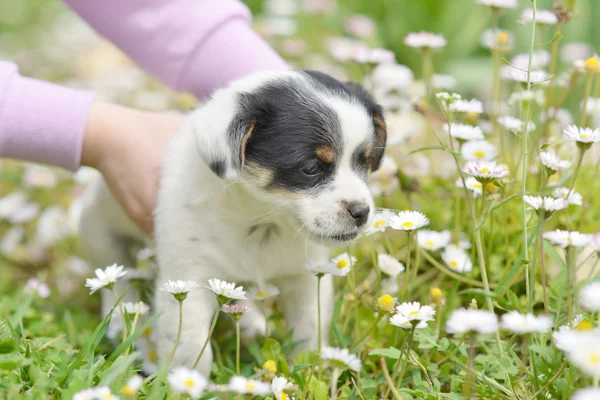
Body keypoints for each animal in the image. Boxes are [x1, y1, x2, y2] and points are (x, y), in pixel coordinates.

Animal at [79, 69, 386, 376]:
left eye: (364, 162)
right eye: (310, 168)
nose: (362, 212)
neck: (261, 223)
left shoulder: (307, 278)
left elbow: (309, 333)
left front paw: (307, 371)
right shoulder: (188, 279)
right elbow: (191, 349)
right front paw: (192, 382)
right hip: (99, 235)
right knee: (117, 280)